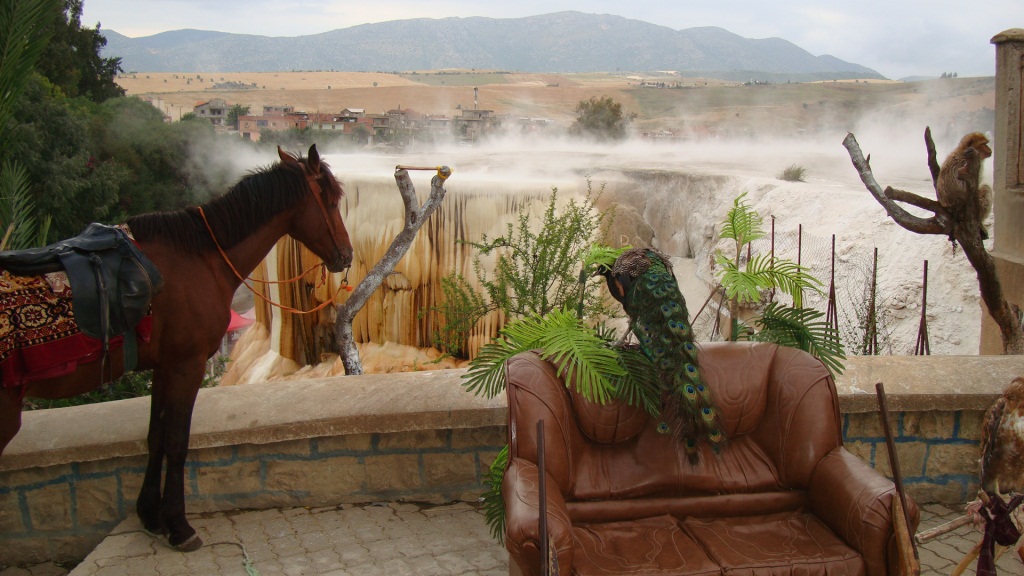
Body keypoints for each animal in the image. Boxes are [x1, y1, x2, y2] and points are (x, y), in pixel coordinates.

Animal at [0, 144, 352, 551]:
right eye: (331, 199)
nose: (347, 255)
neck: (202, 258)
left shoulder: (163, 365)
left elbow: (155, 437)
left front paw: (151, 514)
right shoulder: (188, 363)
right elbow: (177, 441)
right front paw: (179, 526)